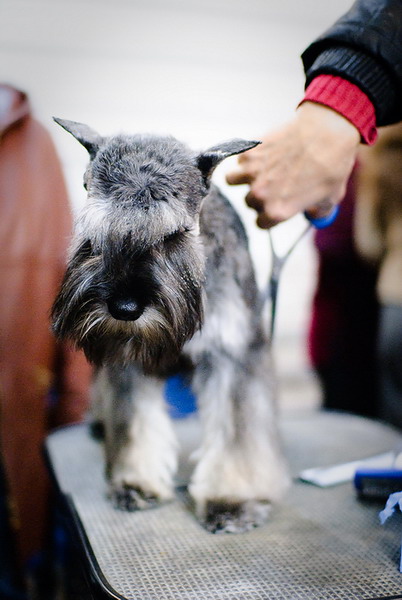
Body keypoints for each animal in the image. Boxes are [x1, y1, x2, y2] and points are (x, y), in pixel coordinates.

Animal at [51, 118, 288, 536]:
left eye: (173, 234)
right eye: (93, 234)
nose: (124, 308)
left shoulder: (232, 355)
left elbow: (237, 434)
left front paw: (231, 499)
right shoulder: (125, 356)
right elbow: (134, 422)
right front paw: (135, 481)